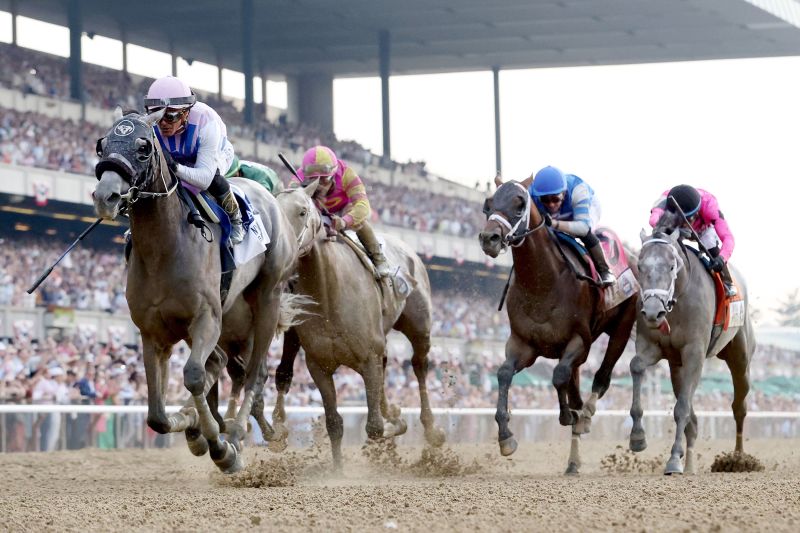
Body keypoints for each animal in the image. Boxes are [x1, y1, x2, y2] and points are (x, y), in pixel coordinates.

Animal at [94, 107, 300, 470]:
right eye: (101, 145)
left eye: (143, 147)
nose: (106, 197)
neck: (164, 248)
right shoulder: (153, 333)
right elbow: (158, 416)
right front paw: (194, 427)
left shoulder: (206, 318)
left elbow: (193, 375)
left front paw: (220, 446)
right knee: (222, 364)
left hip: (266, 297)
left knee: (254, 373)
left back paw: (235, 433)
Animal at [478, 179, 640, 474]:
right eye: (488, 203)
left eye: (520, 202)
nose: (489, 238)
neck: (542, 282)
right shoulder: (523, 344)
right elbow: (504, 373)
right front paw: (506, 437)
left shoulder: (579, 342)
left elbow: (558, 375)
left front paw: (568, 416)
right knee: (576, 389)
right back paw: (573, 461)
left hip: (622, 327)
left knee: (601, 378)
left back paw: (585, 418)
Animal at [632, 212, 756, 474]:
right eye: (640, 266)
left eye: (671, 266)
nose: (653, 312)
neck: (676, 303)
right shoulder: (652, 346)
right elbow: (636, 366)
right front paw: (637, 438)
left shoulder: (694, 353)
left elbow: (681, 409)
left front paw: (672, 460)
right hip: (676, 367)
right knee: (693, 415)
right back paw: (689, 463)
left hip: (740, 358)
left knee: (739, 406)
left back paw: (738, 459)